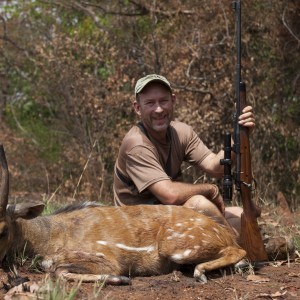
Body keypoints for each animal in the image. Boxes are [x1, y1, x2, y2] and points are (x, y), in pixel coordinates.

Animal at [0, 145, 246, 284]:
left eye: (3, 231)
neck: (48, 236)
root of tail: (223, 231)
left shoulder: (105, 259)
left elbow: (58, 270)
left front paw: (120, 279)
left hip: (176, 247)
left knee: (238, 251)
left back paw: (200, 273)